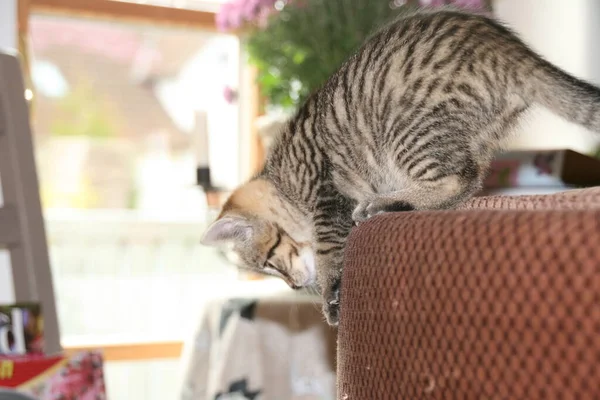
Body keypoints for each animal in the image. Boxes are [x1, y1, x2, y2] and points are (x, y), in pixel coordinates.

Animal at [200, 8, 600, 324]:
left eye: (268, 262)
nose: (295, 285)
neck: (284, 179)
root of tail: (507, 47)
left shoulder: (324, 191)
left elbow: (329, 249)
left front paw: (330, 293)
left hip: (407, 130)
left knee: (456, 179)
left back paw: (386, 202)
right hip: (471, 135)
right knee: (468, 180)